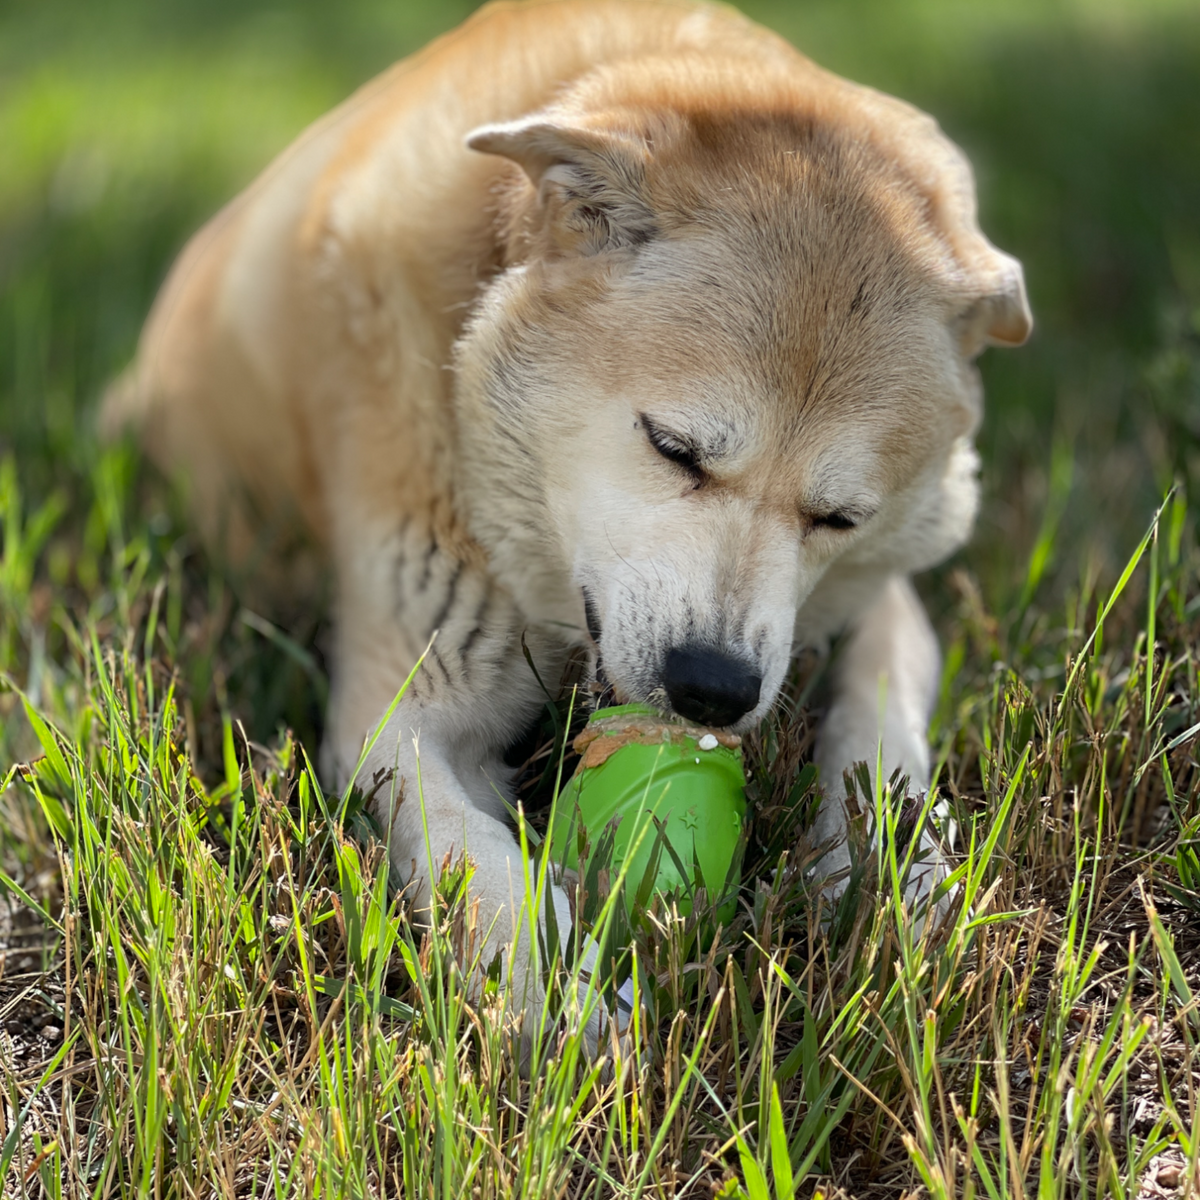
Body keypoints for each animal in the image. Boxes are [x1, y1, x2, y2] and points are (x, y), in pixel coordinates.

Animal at [103, 0, 1027, 1036]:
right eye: (673, 447)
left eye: (838, 516)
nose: (714, 690)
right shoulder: (398, 712)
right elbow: (470, 856)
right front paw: (559, 1003)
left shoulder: (877, 605)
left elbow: (881, 730)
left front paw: (900, 882)